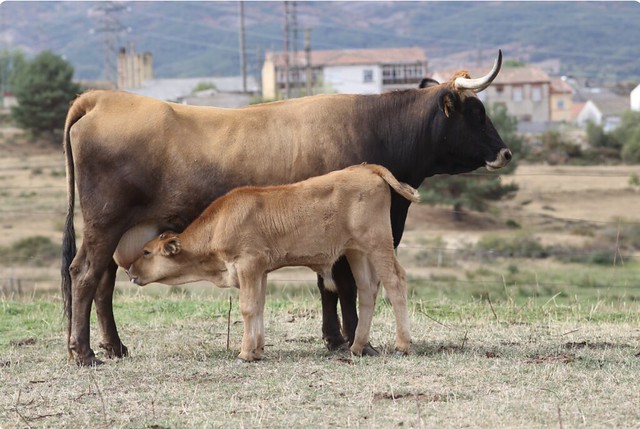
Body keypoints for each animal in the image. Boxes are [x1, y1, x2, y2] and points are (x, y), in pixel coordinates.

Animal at [127, 164, 419, 362]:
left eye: (146, 252)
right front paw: (256, 349)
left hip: (378, 243)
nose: (129, 271)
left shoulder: (247, 263)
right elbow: (258, 306)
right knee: (368, 290)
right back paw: (357, 346)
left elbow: (247, 307)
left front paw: (245, 353)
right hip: (356, 251)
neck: (220, 223)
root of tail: (365, 168)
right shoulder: (260, 270)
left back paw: (402, 345)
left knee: (395, 282)